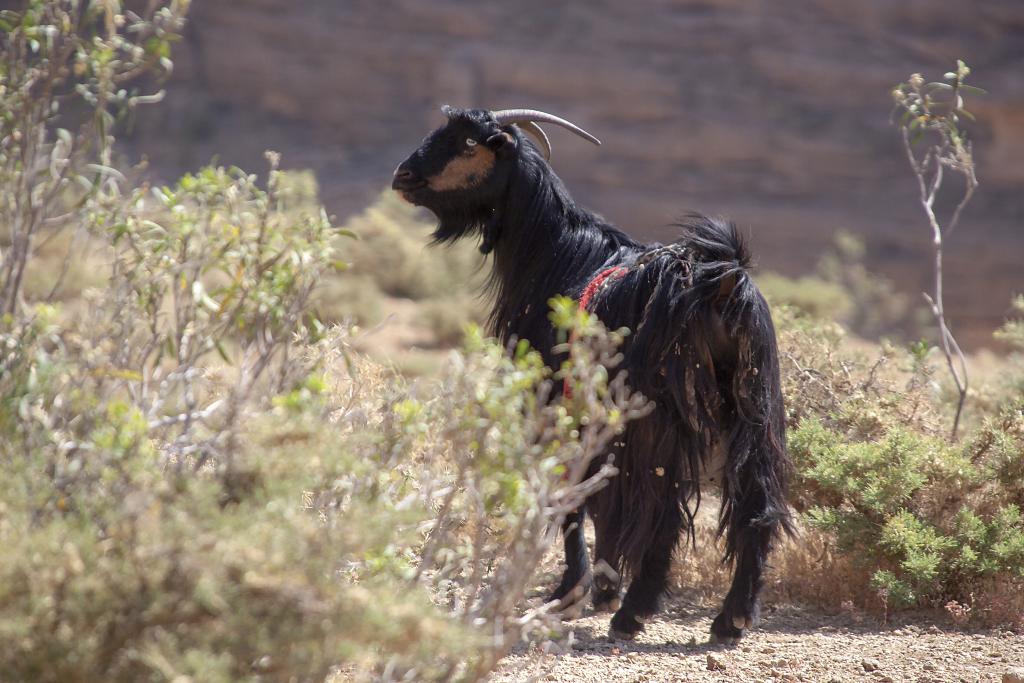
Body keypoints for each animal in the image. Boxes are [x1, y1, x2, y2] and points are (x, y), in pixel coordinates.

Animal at [391, 104, 790, 643]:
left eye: (470, 142)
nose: (403, 176)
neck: (557, 254)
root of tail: (722, 282)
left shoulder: (550, 399)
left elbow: (571, 493)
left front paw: (572, 592)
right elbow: (598, 495)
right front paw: (601, 587)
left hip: (660, 415)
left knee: (664, 508)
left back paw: (635, 614)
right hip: (755, 405)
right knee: (757, 503)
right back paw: (733, 618)